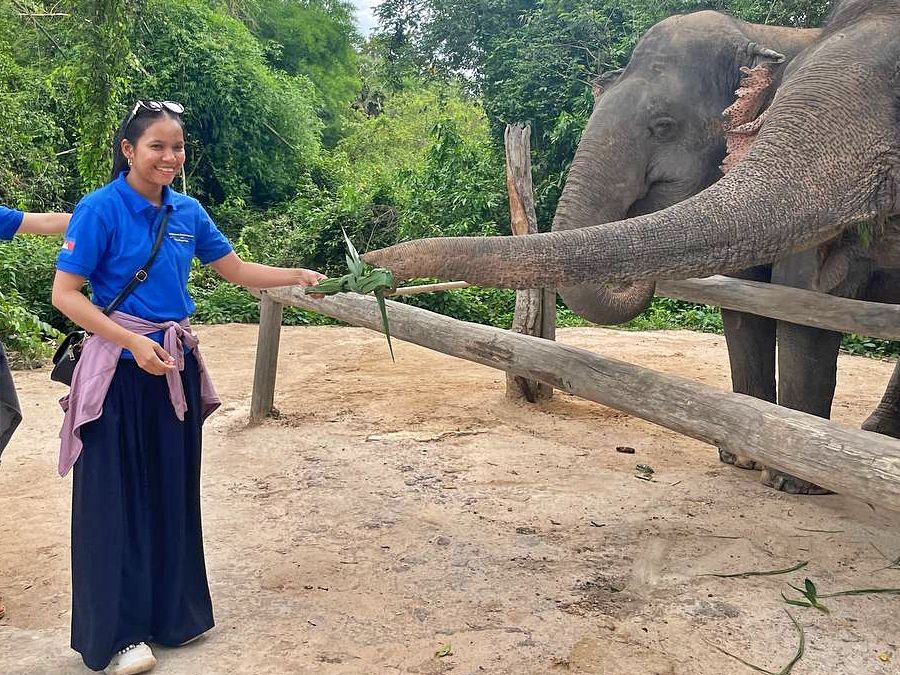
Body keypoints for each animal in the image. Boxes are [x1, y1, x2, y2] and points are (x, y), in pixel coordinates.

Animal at [364, 0, 900, 493]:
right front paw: (741, 458)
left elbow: (807, 297)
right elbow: (746, 305)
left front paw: (792, 480)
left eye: (663, 125)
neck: (758, 33)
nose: (367, 264)